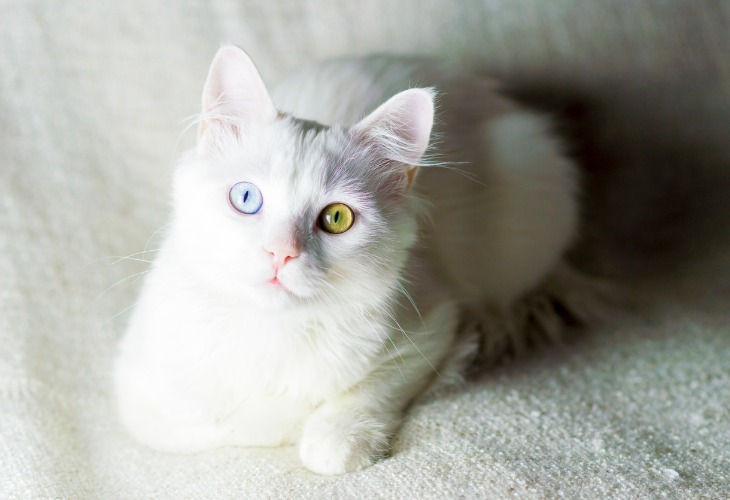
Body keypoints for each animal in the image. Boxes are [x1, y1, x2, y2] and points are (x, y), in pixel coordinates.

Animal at [114, 45, 604, 474]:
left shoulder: (431, 324)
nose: (281, 252)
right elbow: (220, 424)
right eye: (246, 198)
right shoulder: (140, 392)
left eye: (336, 218)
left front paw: (336, 435)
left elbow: (365, 397)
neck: (273, 332)